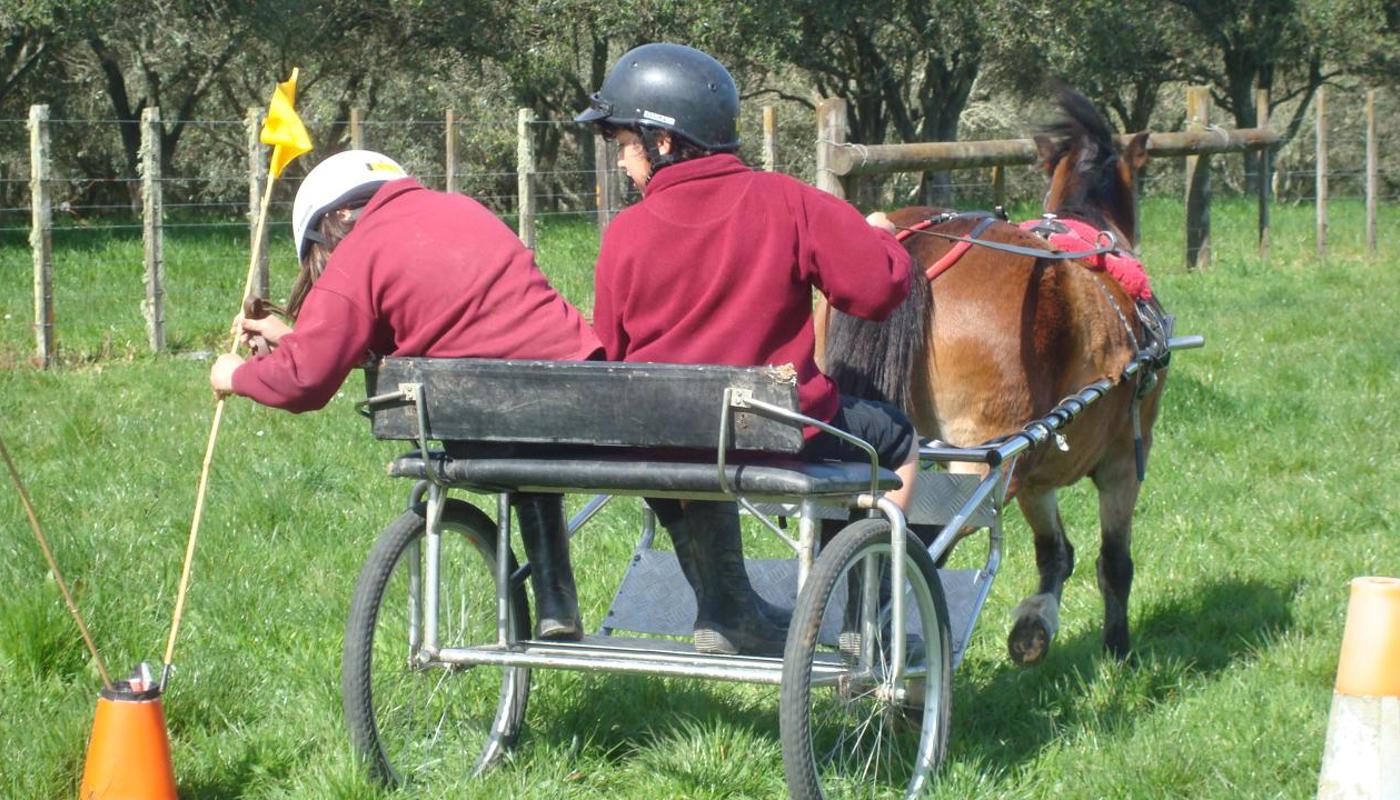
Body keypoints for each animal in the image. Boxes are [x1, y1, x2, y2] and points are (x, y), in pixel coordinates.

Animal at [817, 87, 1159, 666]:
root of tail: (907, 250)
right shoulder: (1121, 459)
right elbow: (1113, 562)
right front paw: (1117, 651)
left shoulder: (1034, 467)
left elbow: (1055, 552)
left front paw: (1033, 627)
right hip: (983, 461)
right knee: (913, 545)